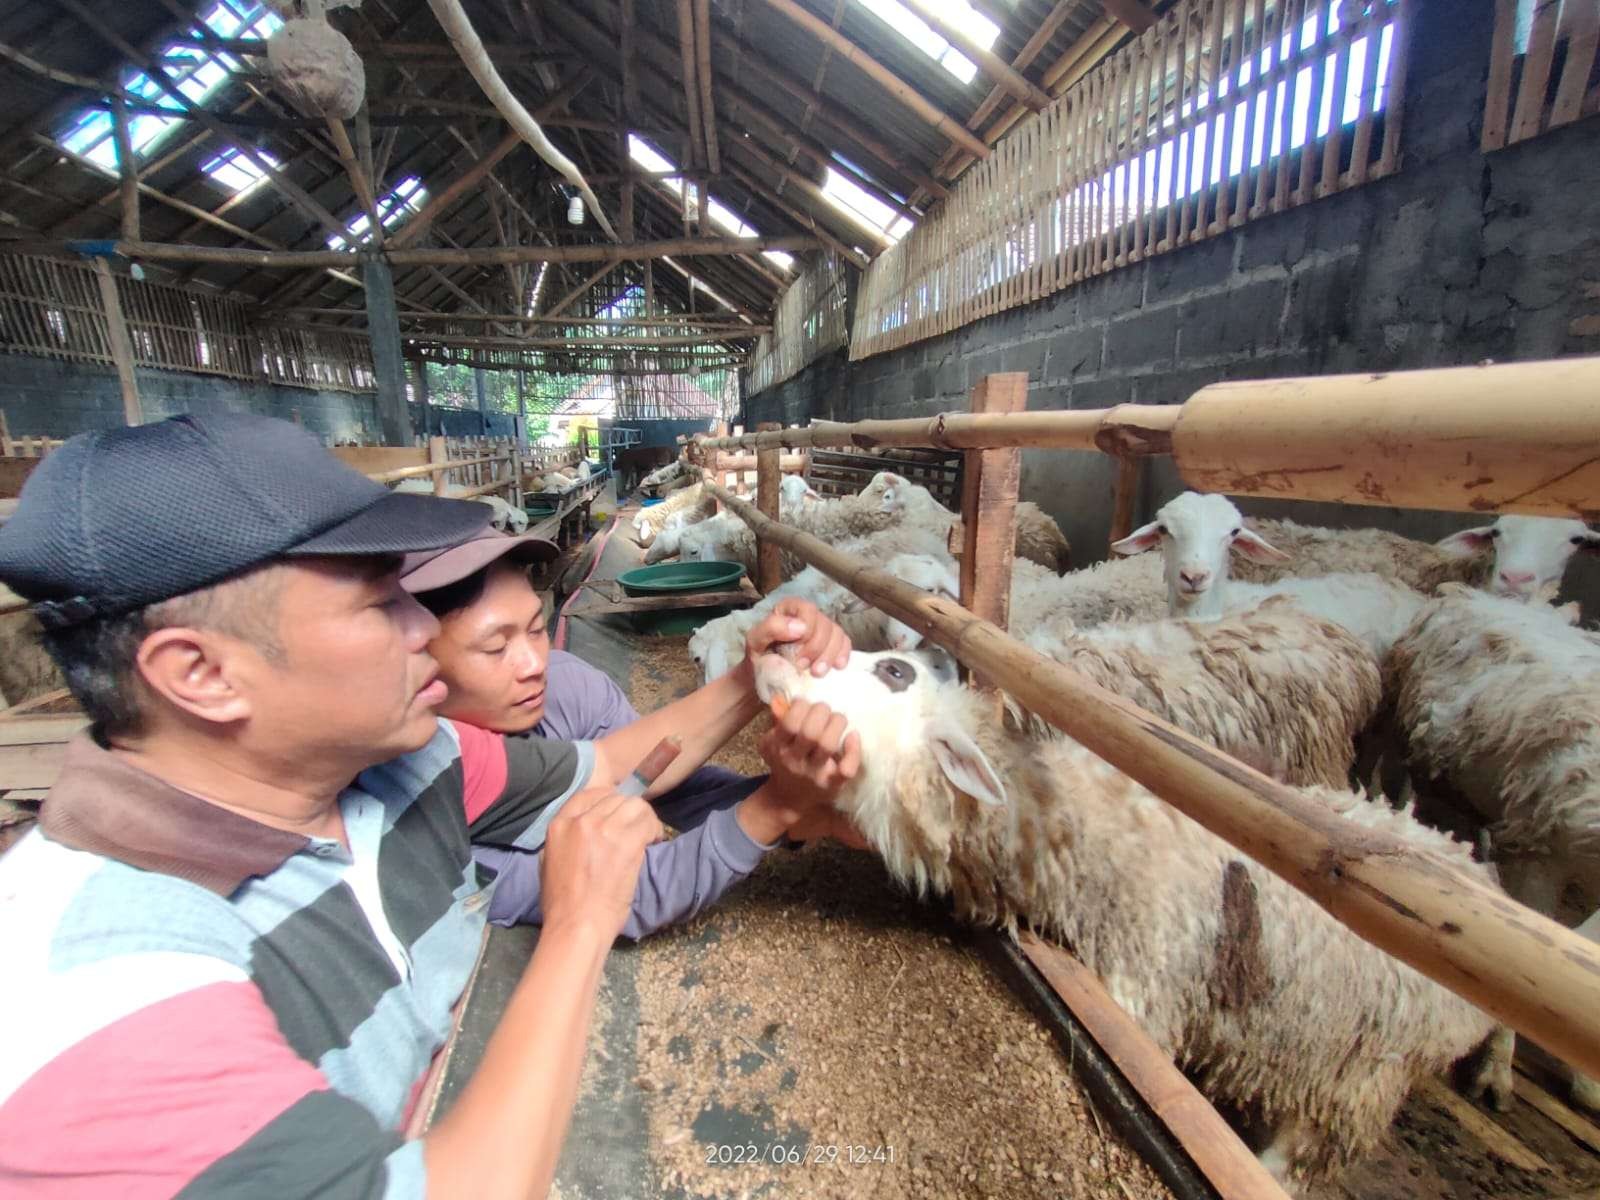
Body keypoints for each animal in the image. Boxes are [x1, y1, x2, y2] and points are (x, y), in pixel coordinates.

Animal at [752, 643, 1497, 1190]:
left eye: (894, 670)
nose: (775, 648)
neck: (1072, 832)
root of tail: (1467, 862)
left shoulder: (1140, 999)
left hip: (1365, 1073)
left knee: (1303, 1153)